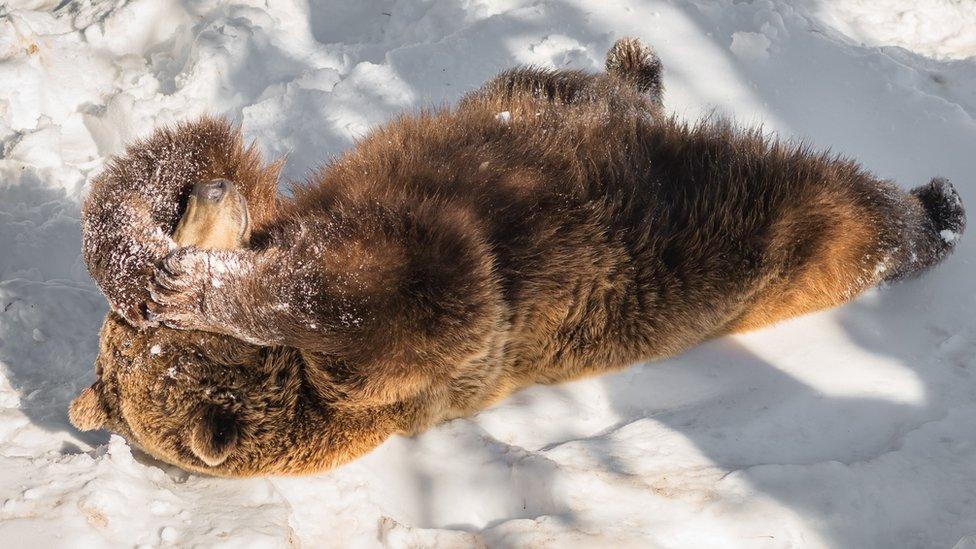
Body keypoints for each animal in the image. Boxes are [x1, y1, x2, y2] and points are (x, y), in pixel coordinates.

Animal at [70, 39, 960, 476]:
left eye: (121, 328)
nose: (211, 199)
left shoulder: (300, 204)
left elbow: (174, 153)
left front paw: (156, 265)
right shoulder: (419, 342)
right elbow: (415, 294)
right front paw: (201, 285)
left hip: (537, 107)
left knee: (561, 83)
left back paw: (637, 63)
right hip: (728, 231)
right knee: (839, 217)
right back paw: (933, 210)